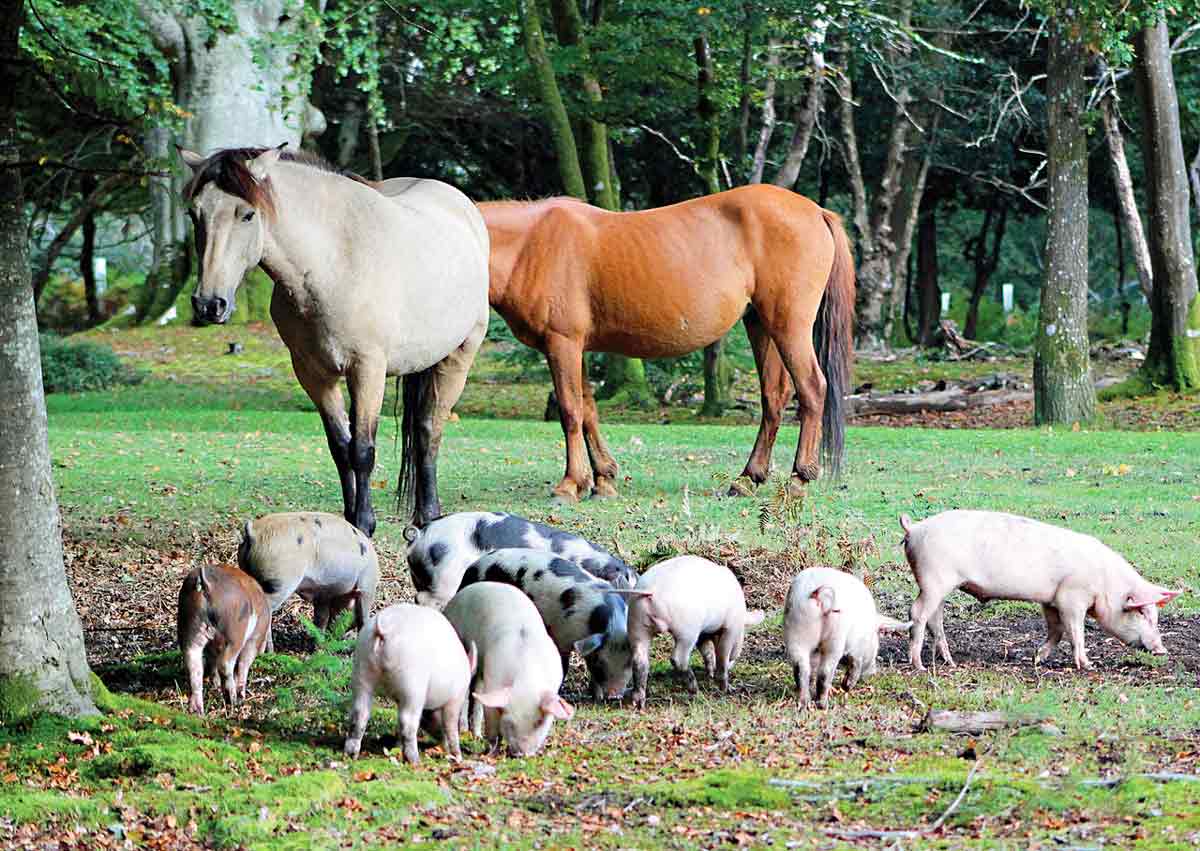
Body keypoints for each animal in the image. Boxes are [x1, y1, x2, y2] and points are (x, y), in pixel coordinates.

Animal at [178, 145, 487, 530]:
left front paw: (365, 523)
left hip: (458, 357)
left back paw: (429, 515)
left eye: (247, 214)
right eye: (195, 214)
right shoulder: (313, 374)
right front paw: (349, 521)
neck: (335, 261)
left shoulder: (367, 370)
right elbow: (340, 447)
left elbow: (363, 450)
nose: (209, 304)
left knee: (429, 429)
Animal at [458, 547, 648, 700]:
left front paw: (596, 697)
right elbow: (563, 665)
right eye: (600, 664)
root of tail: (471, 568)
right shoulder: (562, 634)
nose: (614, 696)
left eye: (629, 663)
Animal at [477, 183, 854, 501]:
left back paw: (799, 479)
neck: (532, 244)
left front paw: (571, 484)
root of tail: (816, 211)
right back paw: (747, 479)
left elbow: (570, 411)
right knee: (774, 397)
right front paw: (603, 479)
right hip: (761, 325)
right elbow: (588, 411)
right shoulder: (576, 348)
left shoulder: (562, 343)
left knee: (812, 389)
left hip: (789, 326)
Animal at [902, 511, 1176, 672]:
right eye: (1140, 612)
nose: (1162, 649)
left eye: (1155, 615)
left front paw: (1036, 659)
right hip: (934, 578)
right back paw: (919, 666)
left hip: (938, 585)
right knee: (917, 613)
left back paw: (949, 662)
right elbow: (1075, 632)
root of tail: (914, 528)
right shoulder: (1071, 598)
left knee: (935, 619)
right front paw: (1087, 666)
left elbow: (1056, 631)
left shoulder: (1051, 601)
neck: (1106, 584)